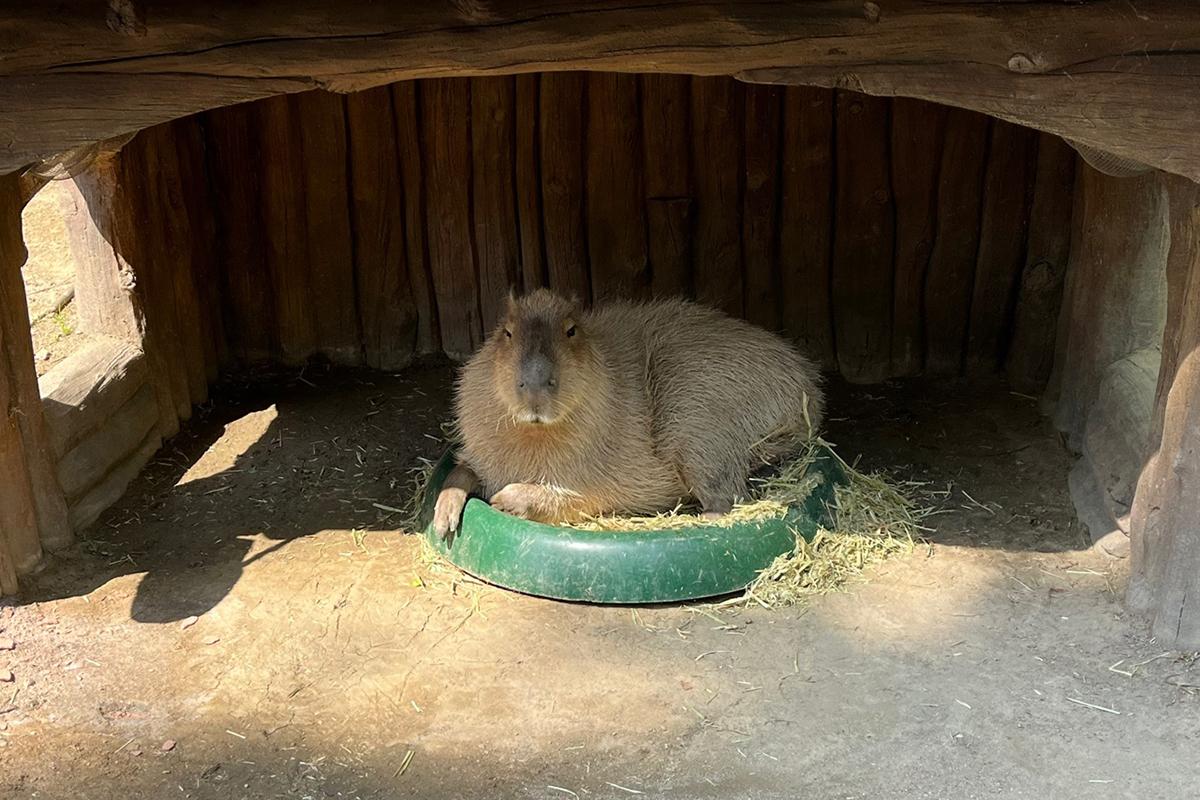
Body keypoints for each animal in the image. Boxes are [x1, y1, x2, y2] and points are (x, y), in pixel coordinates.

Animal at [432, 289, 824, 537]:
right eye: (507, 331)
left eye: (571, 330)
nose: (536, 389)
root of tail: (810, 389)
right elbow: (461, 470)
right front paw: (443, 519)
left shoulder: (600, 480)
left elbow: (570, 498)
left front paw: (505, 499)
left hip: (696, 422)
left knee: (726, 499)